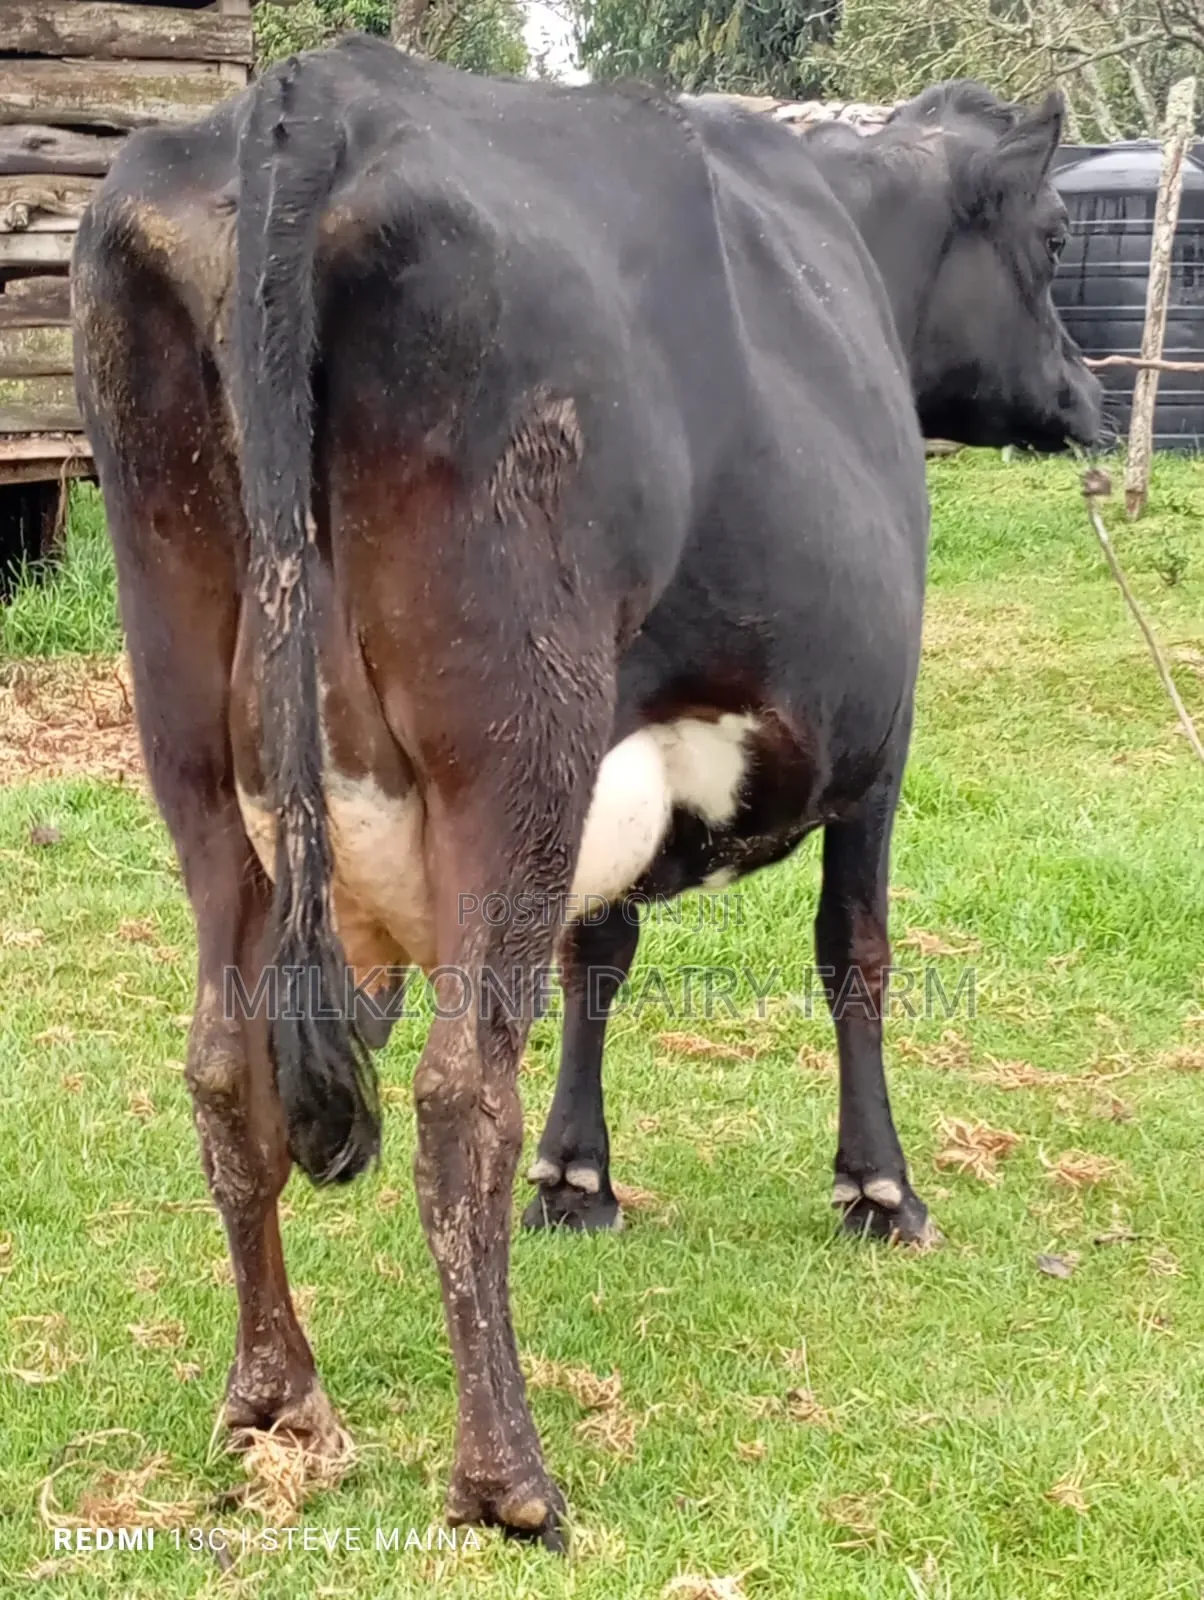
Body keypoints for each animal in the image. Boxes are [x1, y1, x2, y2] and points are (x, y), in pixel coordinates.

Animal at [72, 39, 1099, 1549]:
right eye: (1055, 236)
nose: (1088, 395)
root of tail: (318, 94)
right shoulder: (882, 733)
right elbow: (853, 952)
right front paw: (880, 1188)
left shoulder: (627, 756)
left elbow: (597, 952)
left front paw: (581, 1176)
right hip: (516, 736)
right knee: (455, 1098)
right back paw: (508, 1478)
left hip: (194, 739)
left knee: (223, 1063)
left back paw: (276, 1402)